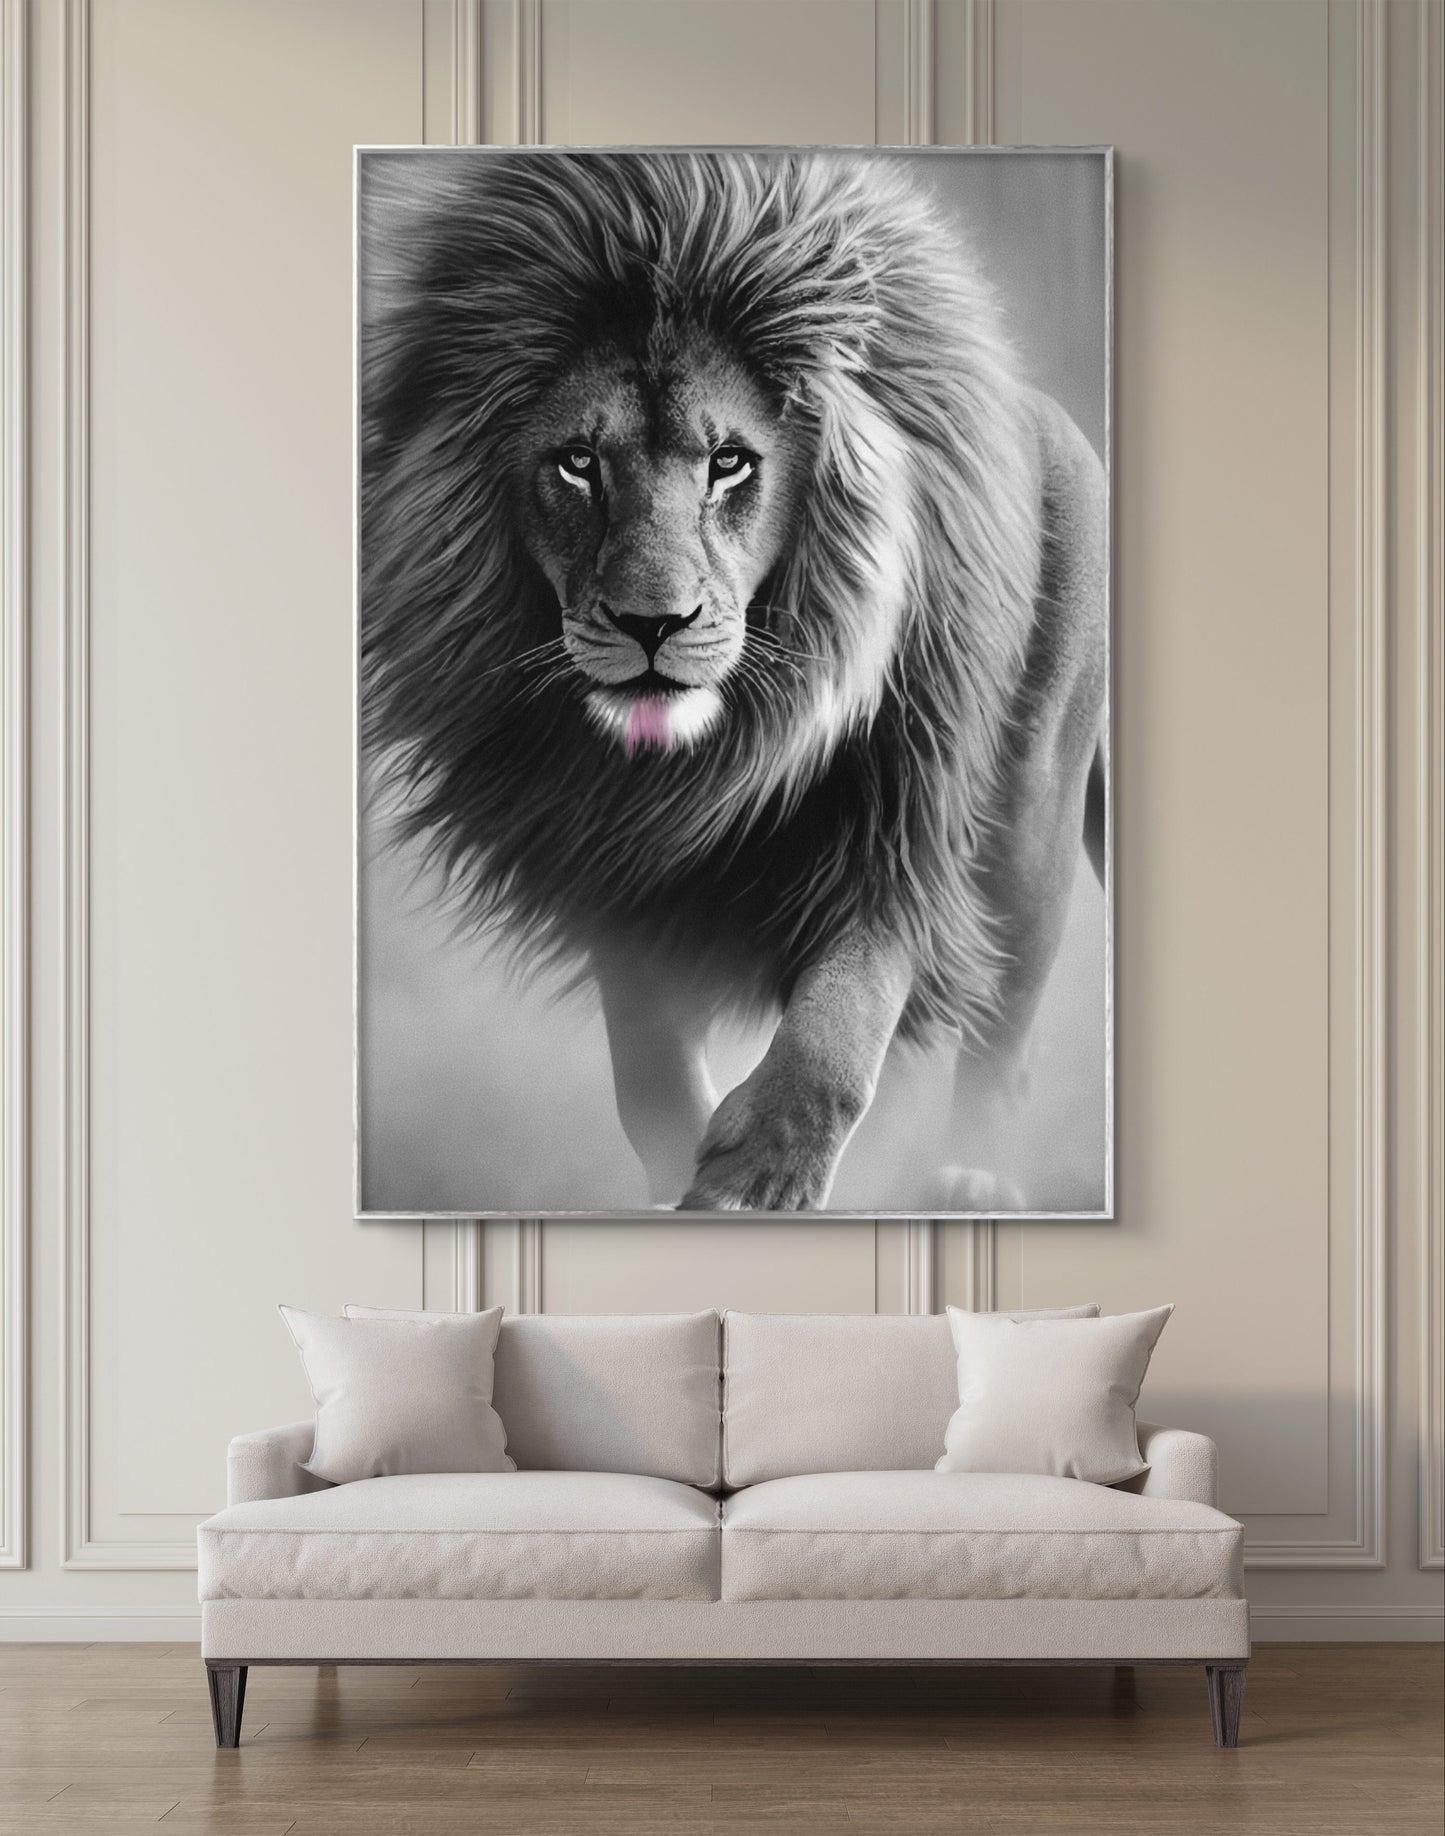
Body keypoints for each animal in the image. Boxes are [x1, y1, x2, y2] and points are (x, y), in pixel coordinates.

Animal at [360, 149, 1107, 1213]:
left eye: (728, 463)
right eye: (577, 463)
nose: (652, 625)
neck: (714, 756)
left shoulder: (897, 823)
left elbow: (840, 1024)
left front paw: (760, 1177)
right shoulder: (607, 859)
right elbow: (647, 1066)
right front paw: (686, 1160)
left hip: (1031, 821)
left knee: (1005, 1030)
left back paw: (976, 1175)